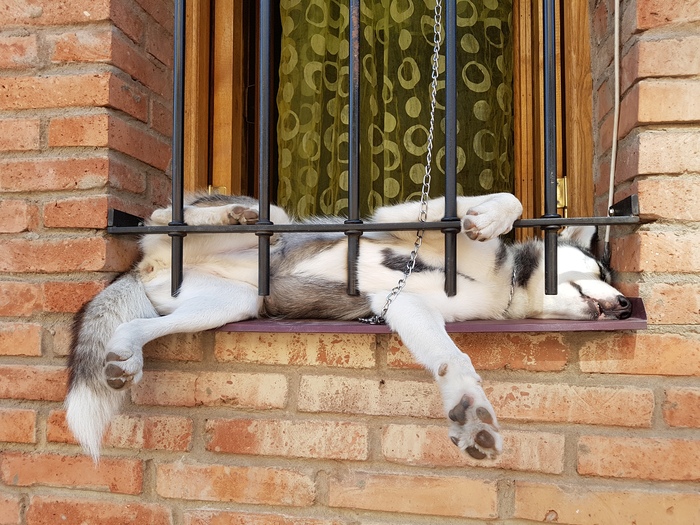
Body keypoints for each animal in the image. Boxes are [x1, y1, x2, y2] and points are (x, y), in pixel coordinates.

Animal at [67, 191, 636, 458]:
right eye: (601, 269)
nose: (627, 306)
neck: (509, 284)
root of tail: (149, 263)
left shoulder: (407, 309)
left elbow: (450, 357)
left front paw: (470, 411)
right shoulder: (399, 219)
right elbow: (503, 200)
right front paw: (491, 217)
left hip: (232, 303)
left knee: (143, 325)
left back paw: (125, 354)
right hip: (261, 223)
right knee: (167, 215)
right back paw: (227, 215)